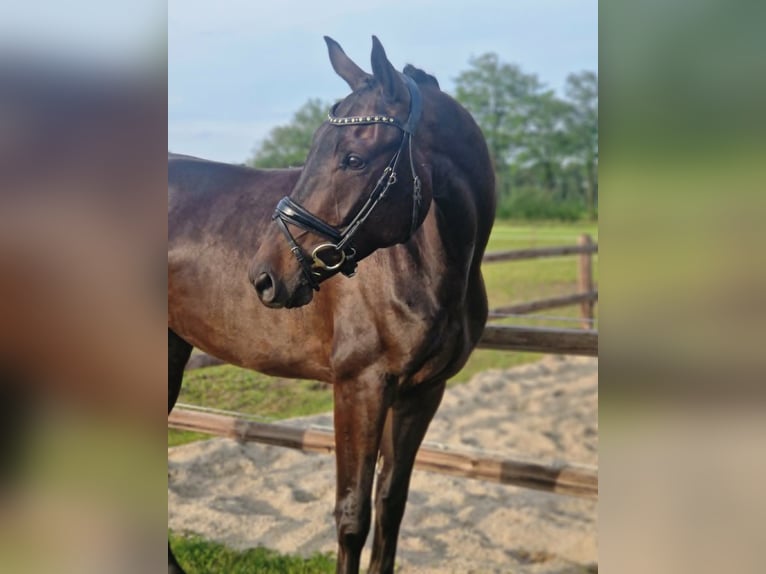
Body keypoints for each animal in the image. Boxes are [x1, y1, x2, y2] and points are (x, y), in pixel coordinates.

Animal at [168, 36, 495, 573]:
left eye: (354, 159)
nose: (266, 276)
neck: (428, 264)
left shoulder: (422, 393)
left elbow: (390, 505)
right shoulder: (359, 386)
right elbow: (352, 515)